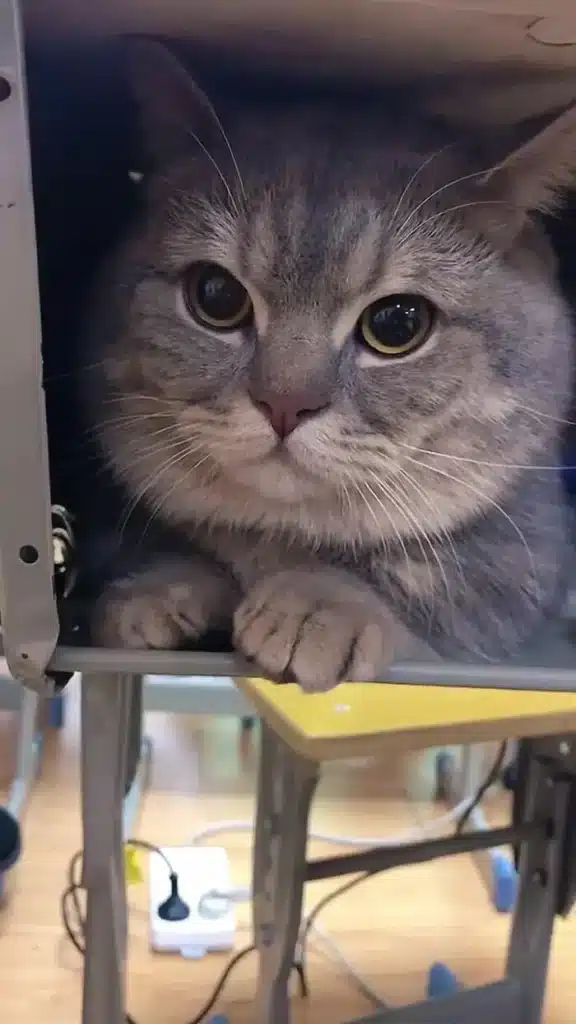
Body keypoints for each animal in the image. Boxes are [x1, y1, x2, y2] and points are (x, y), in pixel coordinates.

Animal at [78, 41, 569, 696]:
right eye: (215, 296)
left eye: (397, 324)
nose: (285, 405)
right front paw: (159, 588)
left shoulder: (522, 570)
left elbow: (422, 586)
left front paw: (322, 603)